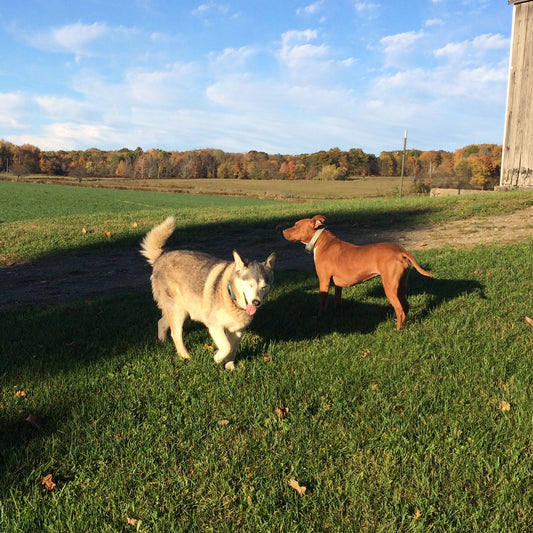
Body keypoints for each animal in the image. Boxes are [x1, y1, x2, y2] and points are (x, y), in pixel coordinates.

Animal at [282, 214, 432, 326]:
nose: (282, 231)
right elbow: (337, 301)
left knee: (399, 308)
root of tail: (400, 250)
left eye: (296, 225)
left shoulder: (324, 282)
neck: (321, 242)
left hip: (389, 287)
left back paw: (398, 330)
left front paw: (319, 317)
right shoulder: (337, 285)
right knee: (405, 306)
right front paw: (337, 312)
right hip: (401, 286)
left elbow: (322, 304)